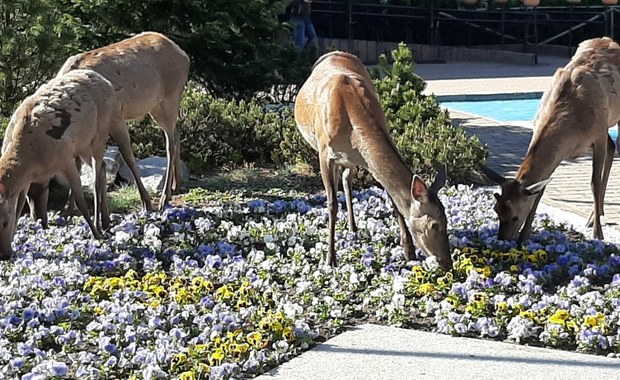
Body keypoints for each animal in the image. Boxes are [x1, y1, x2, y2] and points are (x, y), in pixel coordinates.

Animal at [0, 69, 126, 258]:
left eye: (4, 223)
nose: (4, 255)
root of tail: (106, 82)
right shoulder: (28, 181)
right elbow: (20, 206)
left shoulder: (65, 160)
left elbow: (81, 202)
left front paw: (96, 236)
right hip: (84, 145)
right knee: (103, 168)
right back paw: (105, 221)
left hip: (101, 131)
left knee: (96, 177)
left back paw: (100, 225)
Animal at [24, 33, 190, 223]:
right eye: (25, 193)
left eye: (44, 187)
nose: (36, 218)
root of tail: (185, 56)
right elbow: (78, 166)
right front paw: (68, 209)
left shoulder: (116, 116)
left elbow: (128, 157)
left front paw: (146, 202)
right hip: (157, 106)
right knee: (176, 134)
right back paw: (177, 184)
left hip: (170, 96)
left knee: (170, 143)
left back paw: (164, 197)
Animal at [294, 50, 450, 270]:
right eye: (434, 225)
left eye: (447, 220)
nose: (447, 263)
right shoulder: (324, 152)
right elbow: (331, 203)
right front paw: (330, 259)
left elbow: (394, 200)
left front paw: (408, 251)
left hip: (349, 160)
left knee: (346, 180)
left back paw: (353, 226)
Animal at [484, 37, 620, 242]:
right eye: (496, 210)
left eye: (515, 216)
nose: (503, 239)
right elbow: (540, 189)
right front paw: (524, 236)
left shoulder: (598, 133)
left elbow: (594, 183)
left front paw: (598, 234)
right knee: (612, 147)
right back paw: (594, 216)